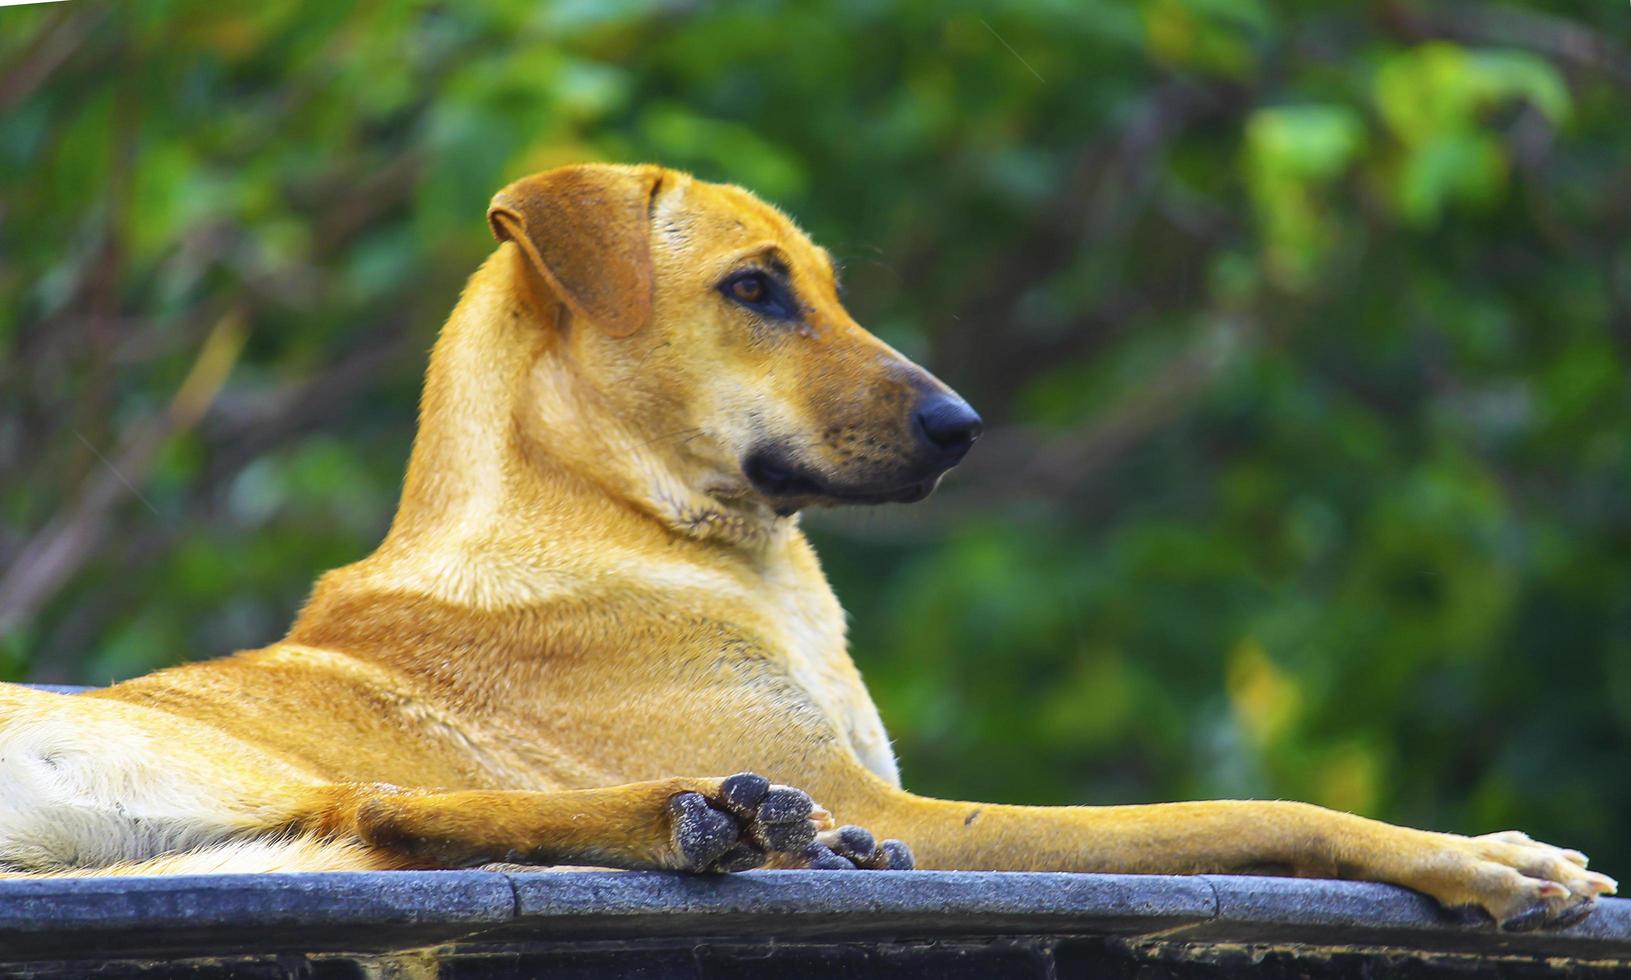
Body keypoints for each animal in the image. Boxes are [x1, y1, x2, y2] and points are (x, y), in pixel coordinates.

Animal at [0, 164, 1604, 926]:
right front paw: (1476, 857)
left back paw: (730, 827)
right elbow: (1241, 813)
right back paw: (719, 823)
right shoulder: (944, 814)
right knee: (392, 806)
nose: (966, 426)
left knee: (391, 814)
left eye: (824, 284)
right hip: (221, 766)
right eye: (754, 289)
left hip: (264, 809)